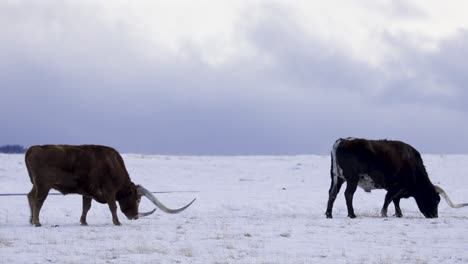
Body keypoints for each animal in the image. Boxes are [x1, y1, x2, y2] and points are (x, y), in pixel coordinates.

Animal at [25, 144, 196, 227]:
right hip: (44, 185)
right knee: (38, 201)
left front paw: (84, 222)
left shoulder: (88, 192)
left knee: (30, 196)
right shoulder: (109, 191)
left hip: (36, 185)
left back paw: (31, 220)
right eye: (138, 200)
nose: (135, 216)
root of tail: (34, 148)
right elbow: (112, 206)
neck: (113, 165)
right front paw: (117, 222)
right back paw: (37, 222)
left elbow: (86, 207)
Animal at [326, 138, 468, 219]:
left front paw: (399, 214)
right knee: (348, 194)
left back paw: (329, 214)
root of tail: (344, 140)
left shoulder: (398, 189)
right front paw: (384, 213)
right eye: (436, 200)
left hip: (337, 178)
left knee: (332, 193)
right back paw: (352, 214)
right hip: (352, 179)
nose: (434, 216)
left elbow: (395, 201)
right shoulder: (396, 186)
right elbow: (389, 199)